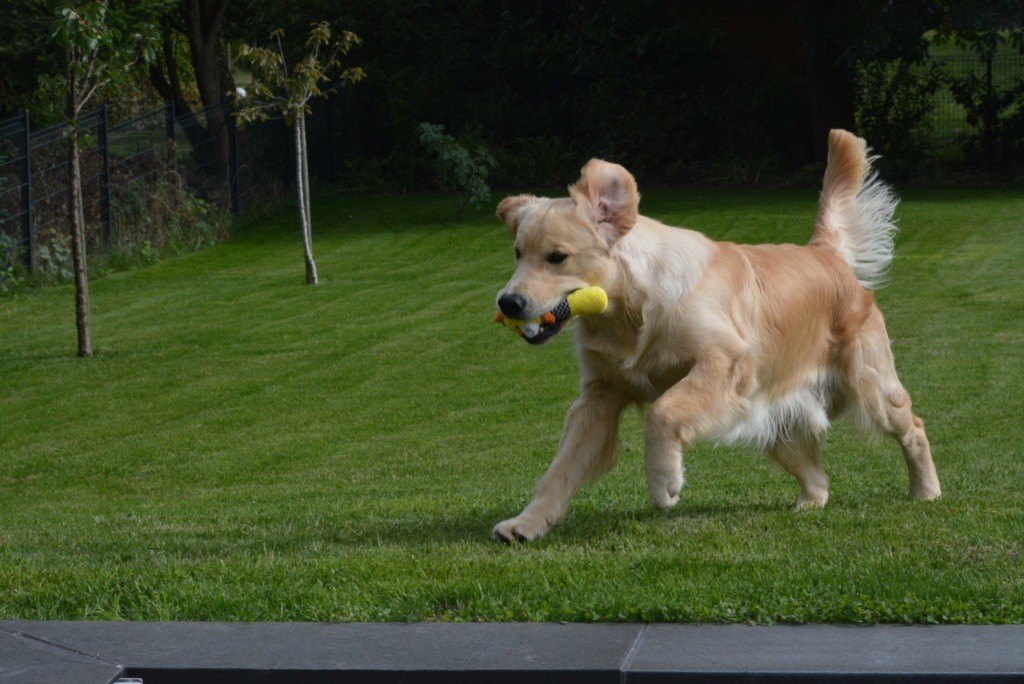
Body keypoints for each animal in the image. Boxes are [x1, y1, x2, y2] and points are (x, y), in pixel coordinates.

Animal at [492, 129, 941, 542]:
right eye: (517, 253)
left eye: (557, 257)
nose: (508, 303)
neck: (630, 308)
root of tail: (825, 252)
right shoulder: (600, 396)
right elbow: (561, 469)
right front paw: (526, 523)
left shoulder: (726, 361)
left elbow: (662, 411)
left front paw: (664, 482)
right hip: (772, 417)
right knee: (817, 477)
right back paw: (810, 503)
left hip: (870, 388)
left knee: (913, 427)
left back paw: (927, 490)